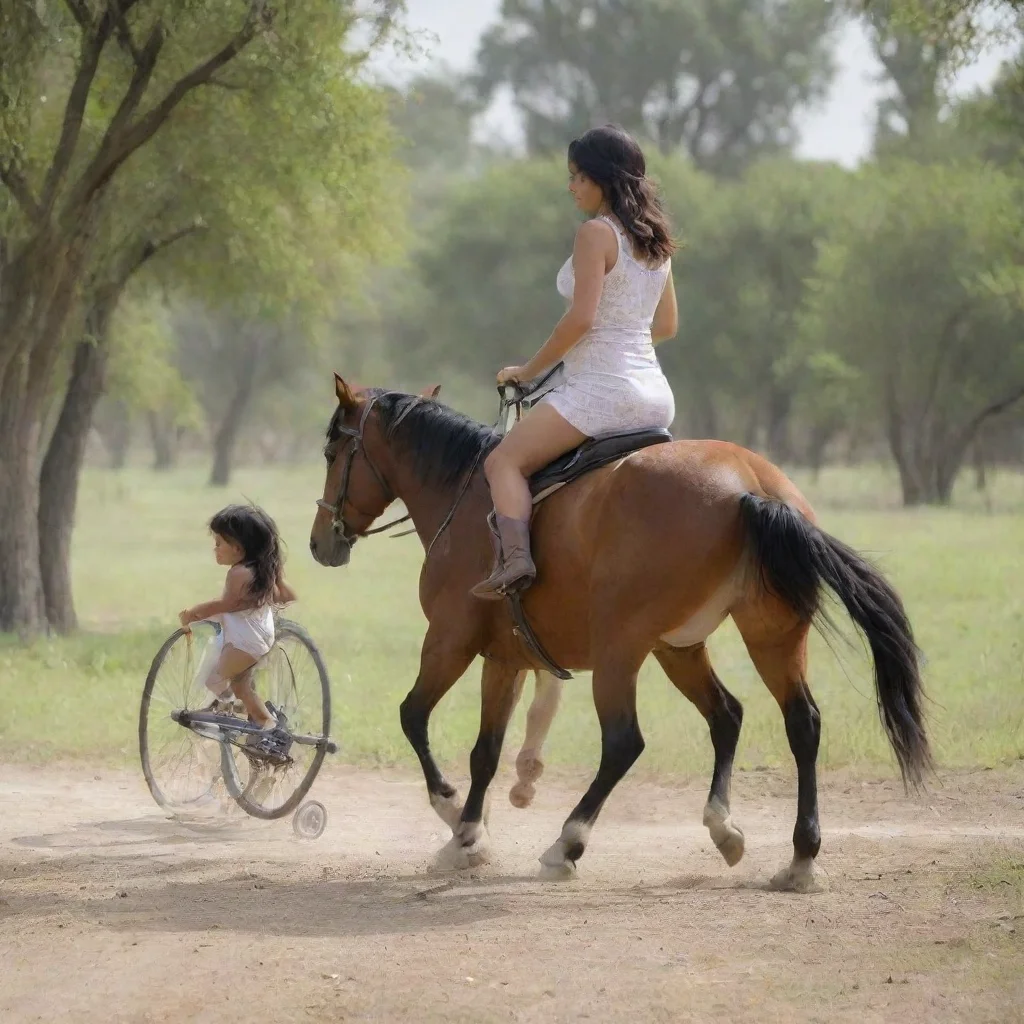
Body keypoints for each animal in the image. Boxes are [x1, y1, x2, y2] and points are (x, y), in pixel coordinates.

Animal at [309, 374, 929, 888]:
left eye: (332, 451)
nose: (320, 541)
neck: (463, 494)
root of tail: (746, 486)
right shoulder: (503, 659)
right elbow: (485, 752)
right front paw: (468, 837)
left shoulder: (449, 641)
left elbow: (413, 716)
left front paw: (452, 813)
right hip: (725, 641)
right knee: (775, 720)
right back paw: (778, 848)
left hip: (622, 649)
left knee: (626, 742)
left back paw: (567, 843)